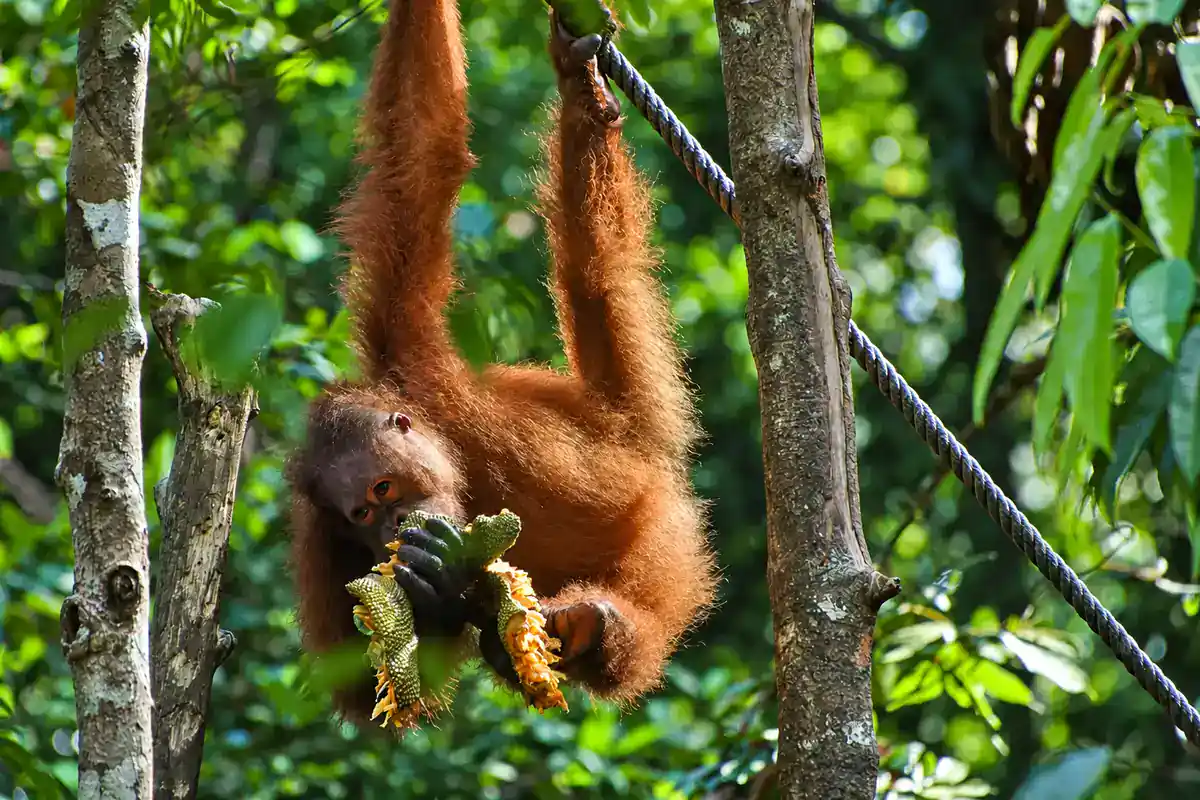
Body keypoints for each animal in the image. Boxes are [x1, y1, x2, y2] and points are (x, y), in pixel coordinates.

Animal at [286, 0, 718, 722]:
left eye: (383, 489)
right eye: (362, 518)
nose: (396, 524)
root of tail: (629, 430)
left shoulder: (410, 350)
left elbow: (421, 150)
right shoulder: (320, 540)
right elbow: (366, 686)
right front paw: (436, 587)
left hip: (664, 525)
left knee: (595, 274)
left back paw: (604, 631)